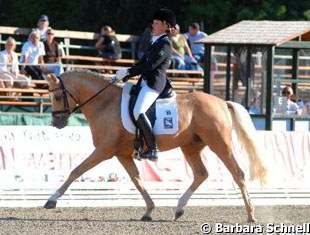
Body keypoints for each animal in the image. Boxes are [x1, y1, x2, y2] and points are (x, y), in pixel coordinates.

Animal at [43, 70, 266, 222]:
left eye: (57, 96)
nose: (56, 123)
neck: (104, 103)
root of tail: (222, 102)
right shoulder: (122, 154)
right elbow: (138, 181)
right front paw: (149, 211)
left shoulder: (104, 151)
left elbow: (76, 170)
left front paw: (52, 200)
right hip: (190, 146)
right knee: (201, 174)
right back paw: (178, 209)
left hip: (219, 144)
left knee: (238, 173)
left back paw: (251, 215)